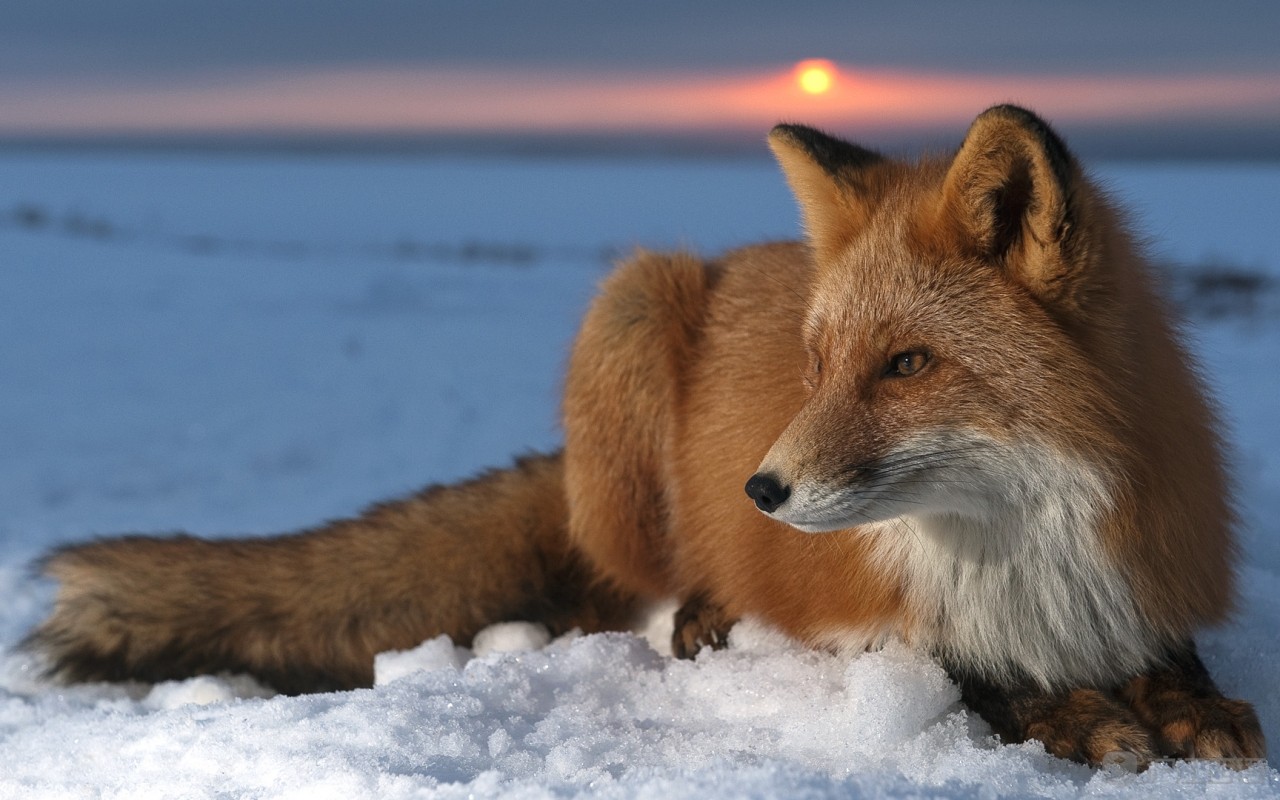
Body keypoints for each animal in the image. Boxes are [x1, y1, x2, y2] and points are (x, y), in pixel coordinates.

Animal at [24, 106, 1264, 768]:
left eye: (906, 364)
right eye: (815, 365)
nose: (759, 488)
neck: (1022, 552)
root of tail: (734, 256)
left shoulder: (1140, 576)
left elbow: (1176, 660)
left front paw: (1186, 703)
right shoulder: (869, 618)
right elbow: (969, 673)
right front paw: (1075, 714)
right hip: (628, 308)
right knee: (613, 589)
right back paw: (698, 611)